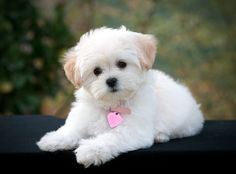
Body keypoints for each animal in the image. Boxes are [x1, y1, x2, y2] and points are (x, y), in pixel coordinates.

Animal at [37, 26, 205, 167]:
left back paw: (160, 135)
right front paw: (54, 139)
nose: (111, 80)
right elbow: (72, 129)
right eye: (96, 71)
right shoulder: (84, 116)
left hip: (185, 125)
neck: (113, 104)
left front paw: (91, 150)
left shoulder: (133, 129)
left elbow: (111, 137)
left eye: (122, 64)